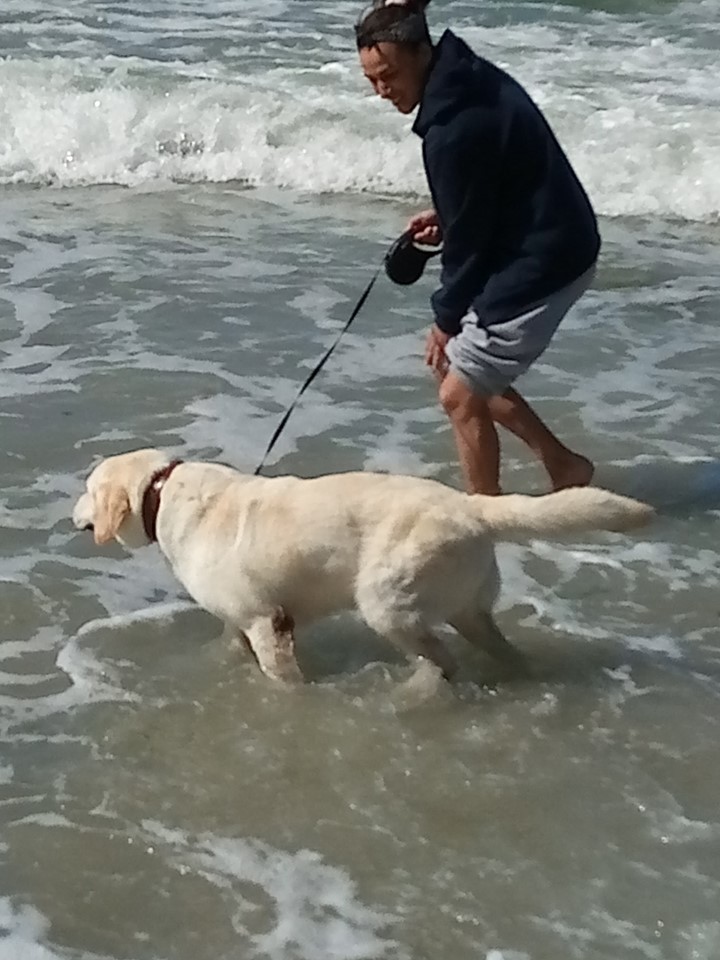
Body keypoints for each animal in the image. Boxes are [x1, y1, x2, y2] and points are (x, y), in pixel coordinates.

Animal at [71, 448, 652, 684]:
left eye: (87, 489)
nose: (70, 513)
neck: (160, 493)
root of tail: (471, 506)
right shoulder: (243, 620)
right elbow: (228, 645)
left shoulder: (266, 622)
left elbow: (282, 678)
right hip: (466, 605)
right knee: (496, 647)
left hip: (386, 600)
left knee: (442, 659)